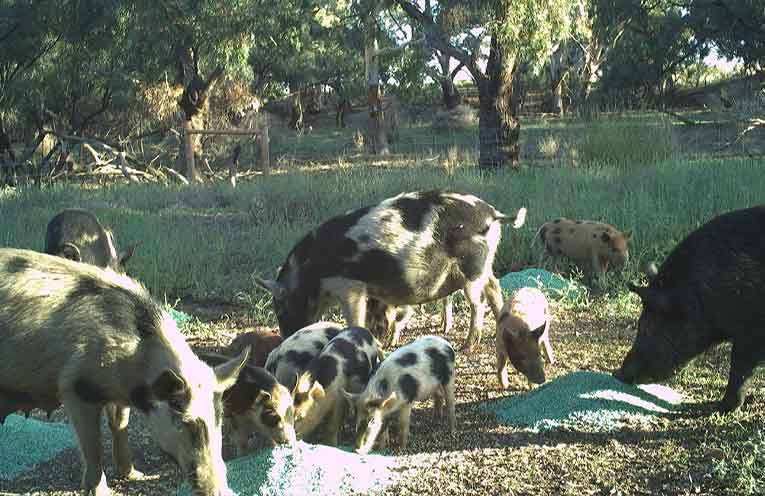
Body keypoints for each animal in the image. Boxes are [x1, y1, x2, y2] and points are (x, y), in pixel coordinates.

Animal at [0, 248, 247, 496]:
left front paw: (134, 475)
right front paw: (101, 491)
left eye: (219, 419)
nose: (221, 491)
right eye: (187, 424)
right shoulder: (75, 388)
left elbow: (120, 425)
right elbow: (93, 446)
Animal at [256, 189, 527, 351]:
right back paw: (498, 328)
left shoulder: (350, 285)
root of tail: (492, 213)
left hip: (472, 267)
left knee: (477, 303)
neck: (311, 272)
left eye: (280, 307)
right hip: (486, 263)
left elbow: (354, 317)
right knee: (494, 288)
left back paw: (467, 346)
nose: (285, 338)